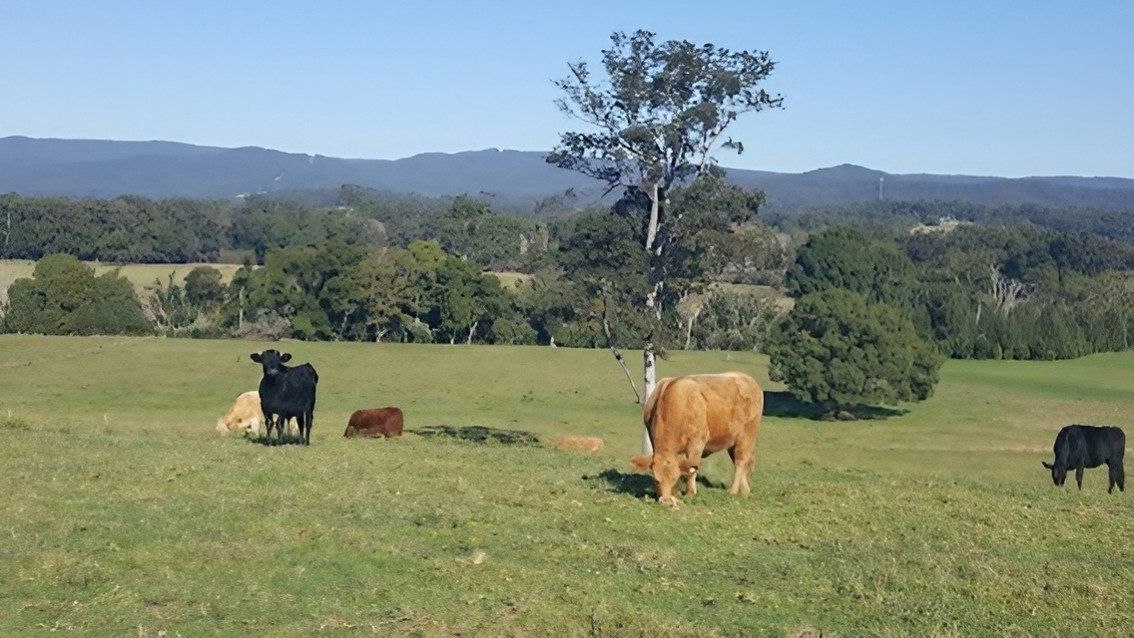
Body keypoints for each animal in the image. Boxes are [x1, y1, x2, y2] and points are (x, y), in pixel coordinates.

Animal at [630, 372, 764, 506]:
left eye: (675, 479)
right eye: (656, 480)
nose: (666, 501)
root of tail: (746, 377)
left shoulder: (697, 443)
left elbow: (691, 470)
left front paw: (690, 493)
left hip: (747, 436)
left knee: (741, 461)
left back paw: (733, 490)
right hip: (732, 441)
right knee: (738, 462)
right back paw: (745, 490)